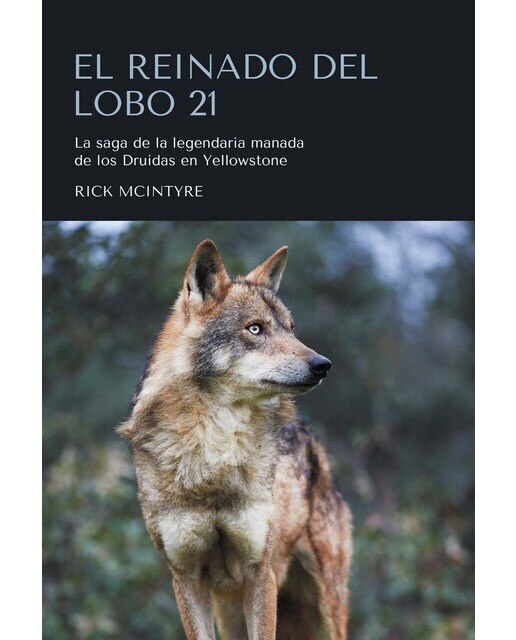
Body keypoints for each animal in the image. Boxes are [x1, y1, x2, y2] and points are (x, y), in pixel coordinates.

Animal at [118, 240, 353, 640]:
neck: (214, 450)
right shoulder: (186, 578)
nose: (323, 365)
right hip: (229, 610)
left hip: (325, 608)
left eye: (291, 329)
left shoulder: (260, 574)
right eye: (255, 329)